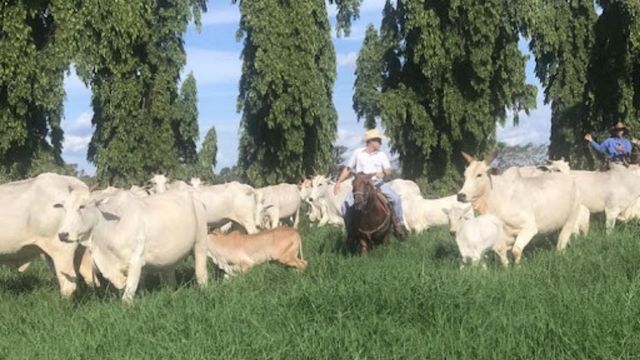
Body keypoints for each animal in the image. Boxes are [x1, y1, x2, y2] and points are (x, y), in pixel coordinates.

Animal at [55, 187, 208, 302]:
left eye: (82, 206)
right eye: (64, 208)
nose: (63, 234)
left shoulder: (136, 260)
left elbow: (127, 296)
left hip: (200, 243)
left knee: (201, 274)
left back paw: (204, 290)